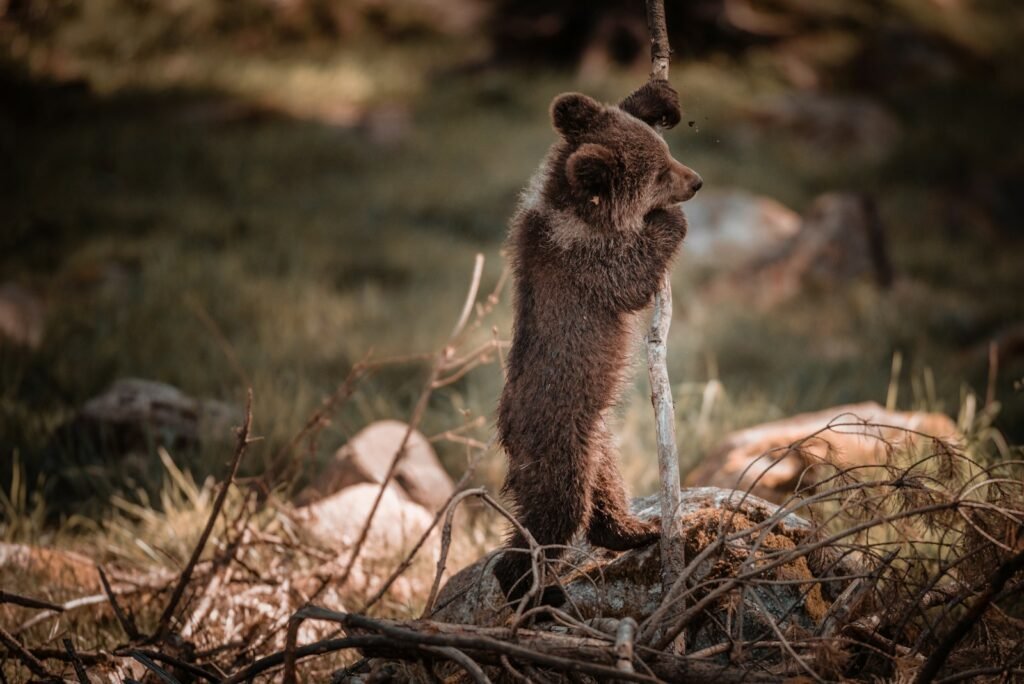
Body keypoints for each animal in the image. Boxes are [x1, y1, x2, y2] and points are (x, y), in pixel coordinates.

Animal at [493, 79, 703, 607]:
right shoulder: (584, 262)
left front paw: (656, 97)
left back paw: (636, 530)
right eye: (659, 175)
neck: (579, 211)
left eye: (667, 153)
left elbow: (594, 110)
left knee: (603, 492)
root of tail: (507, 434)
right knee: (556, 513)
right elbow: (630, 276)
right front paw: (669, 222)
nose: (696, 181)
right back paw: (534, 593)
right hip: (558, 440)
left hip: (599, 442)